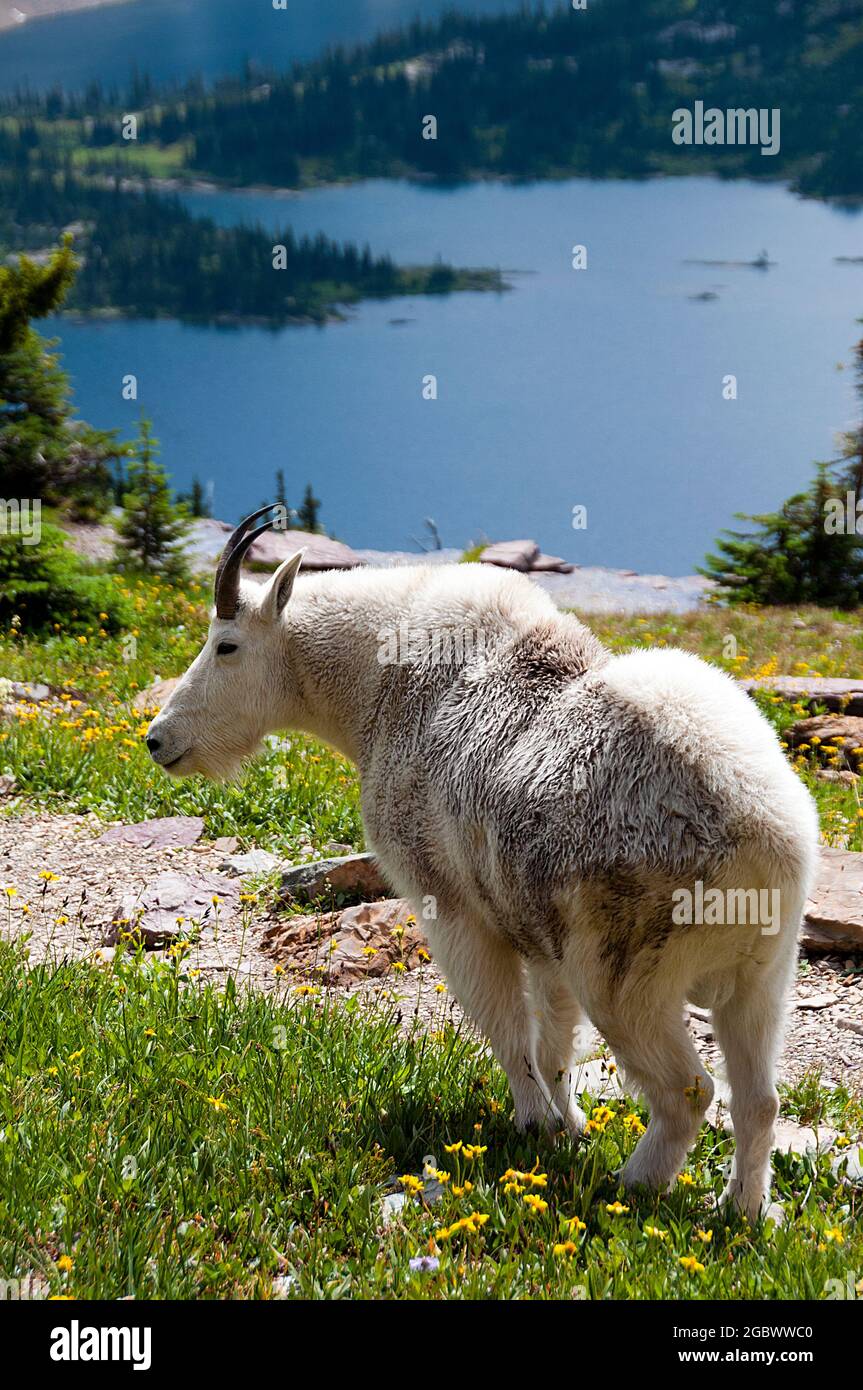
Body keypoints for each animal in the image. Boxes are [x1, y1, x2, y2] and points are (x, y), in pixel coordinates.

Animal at [147, 506, 820, 1220]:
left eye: (226, 645)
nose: (158, 739)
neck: (374, 688)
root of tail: (771, 835)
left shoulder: (451, 906)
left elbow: (504, 1024)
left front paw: (536, 1124)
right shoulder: (540, 929)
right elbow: (553, 1037)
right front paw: (569, 1123)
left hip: (626, 971)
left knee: (688, 1090)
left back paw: (632, 1185)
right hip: (766, 969)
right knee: (759, 1097)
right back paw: (742, 1210)